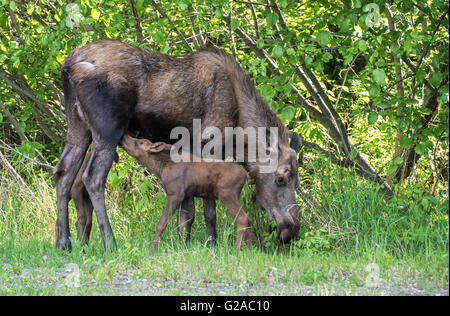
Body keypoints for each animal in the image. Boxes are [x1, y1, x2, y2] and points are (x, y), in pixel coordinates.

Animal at [120, 135, 250, 248]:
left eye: (139, 142)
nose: (123, 137)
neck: (160, 168)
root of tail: (245, 175)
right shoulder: (186, 197)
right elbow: (183, 225)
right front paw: (183, 247)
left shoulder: (175, 194)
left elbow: (162, 224)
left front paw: (152, 248)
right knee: (247, 219)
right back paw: (246, 248)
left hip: (227, 195)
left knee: (242, 218)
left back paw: (237, 248)